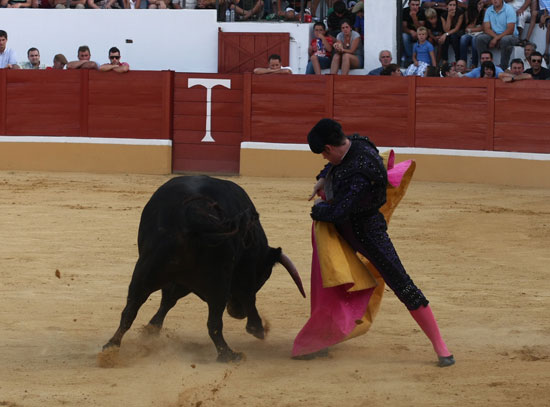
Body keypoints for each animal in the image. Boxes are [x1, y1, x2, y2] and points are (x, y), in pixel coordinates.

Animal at [102, 175, 306, 364]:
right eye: (263, 276)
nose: (237, 313)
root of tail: (192, 216)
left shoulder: (178, 281)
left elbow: (168, 300)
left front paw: (151, 330)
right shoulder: (246, 269)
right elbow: (248, 295)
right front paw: (257, 329)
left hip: (144, 273)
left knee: (129, 311)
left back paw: (110, 348)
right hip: (218, 283)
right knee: (214, 323)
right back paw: (230, 355)